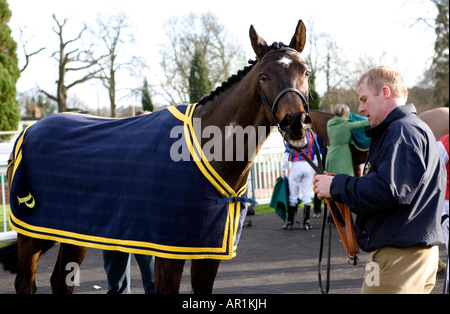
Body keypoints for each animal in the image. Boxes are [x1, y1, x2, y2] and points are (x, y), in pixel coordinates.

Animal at [0, 20, 312, 294]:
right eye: (264, 76)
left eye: (306, 71)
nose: (295, 121)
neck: (205, 151)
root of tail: (28, 132)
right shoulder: (168, 251)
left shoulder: (209, 251)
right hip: (31, 233)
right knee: (26, 283)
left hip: (73, 233)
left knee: (61, 281)